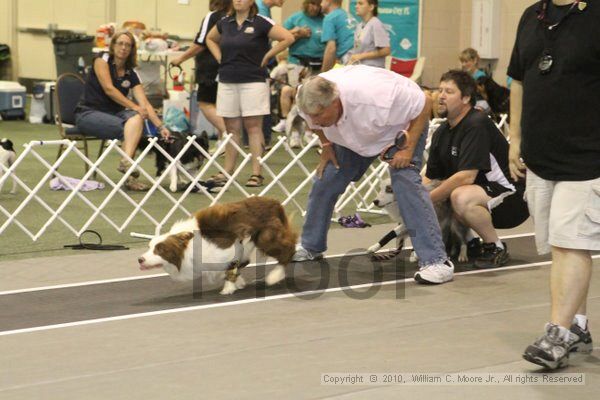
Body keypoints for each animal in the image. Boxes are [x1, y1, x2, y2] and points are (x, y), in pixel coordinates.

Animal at [141, 196, 300, 294]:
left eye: (160, 249)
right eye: (149, 247)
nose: (140, 259)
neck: (188, 246)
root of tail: (275, 203)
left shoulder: (229, 248)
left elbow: (230, 267)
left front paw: (228, 288)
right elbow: (239, 264)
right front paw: (238, 282)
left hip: (265, 237)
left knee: (288, 249)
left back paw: (275, 276)